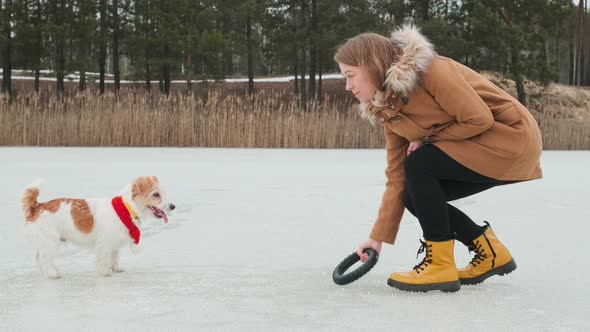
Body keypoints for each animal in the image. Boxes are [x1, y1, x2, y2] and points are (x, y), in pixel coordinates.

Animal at [20, 175, 173, 278]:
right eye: (156, 194)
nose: (173, 206)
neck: (127, 208)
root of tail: (37, 207)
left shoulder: (114, 244)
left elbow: (114, 257)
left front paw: (115, 268)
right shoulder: (104, 243)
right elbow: (103, 259)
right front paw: (104, 272)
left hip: (45, 242)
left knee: (39, 258)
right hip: (50, 242)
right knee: (44, 259)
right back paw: (53, 274)